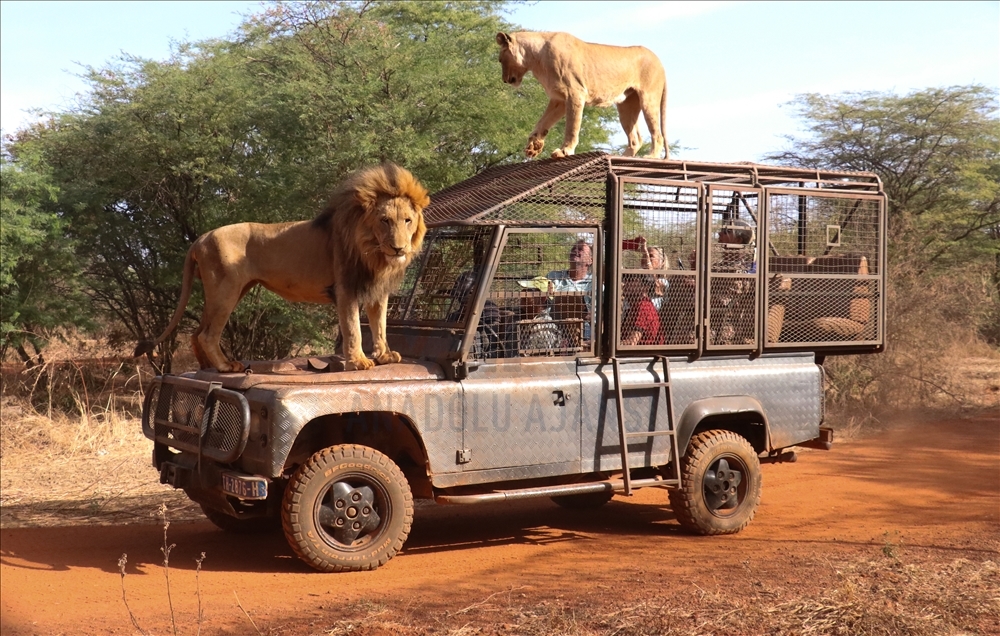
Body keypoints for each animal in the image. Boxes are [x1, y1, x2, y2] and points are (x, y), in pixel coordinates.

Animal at [134, 163, 430, 372]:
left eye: (407, 220)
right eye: (384, 221)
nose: (399, 248)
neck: (375, 252)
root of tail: (202, 237)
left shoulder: (377, 290)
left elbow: (379, 326)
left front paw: (384, 356)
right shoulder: (345, 288)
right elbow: (353, 328)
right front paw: (358, 361)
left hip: (230, 290)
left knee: (197, 332)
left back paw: (206, 367)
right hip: (226, 290)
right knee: (207, 334)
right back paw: (226, 366)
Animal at [496, 32, 668, 161]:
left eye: (500, 60)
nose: (504, 80)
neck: (535, 58)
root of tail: (660, 63)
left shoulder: (575, 93)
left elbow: (572, 126)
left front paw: (564, 151)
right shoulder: (559, 98)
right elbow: (543, 122)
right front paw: (533, 146)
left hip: (649, 99)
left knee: (657, 134)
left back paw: (651, 156)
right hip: (627, 106)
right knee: (636, 139)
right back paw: (623, 157)